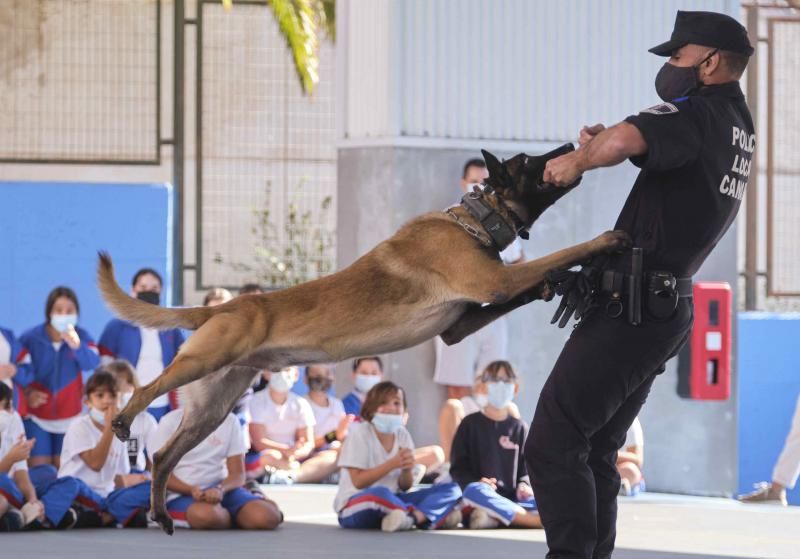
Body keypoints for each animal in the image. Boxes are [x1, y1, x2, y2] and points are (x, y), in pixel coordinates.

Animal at [97, 144, 628, 532]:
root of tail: (224, 306)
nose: (569, 148)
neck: (474, 221)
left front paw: (554, 285)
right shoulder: (492, 284)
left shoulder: (460, 325)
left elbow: (529, 285)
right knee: (145, 390)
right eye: (529, 162)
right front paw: (602, 241)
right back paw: (123, 420)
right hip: (202, 364)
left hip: (213, 407)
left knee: (163, 454)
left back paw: (160, 512)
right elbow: (562, 252)